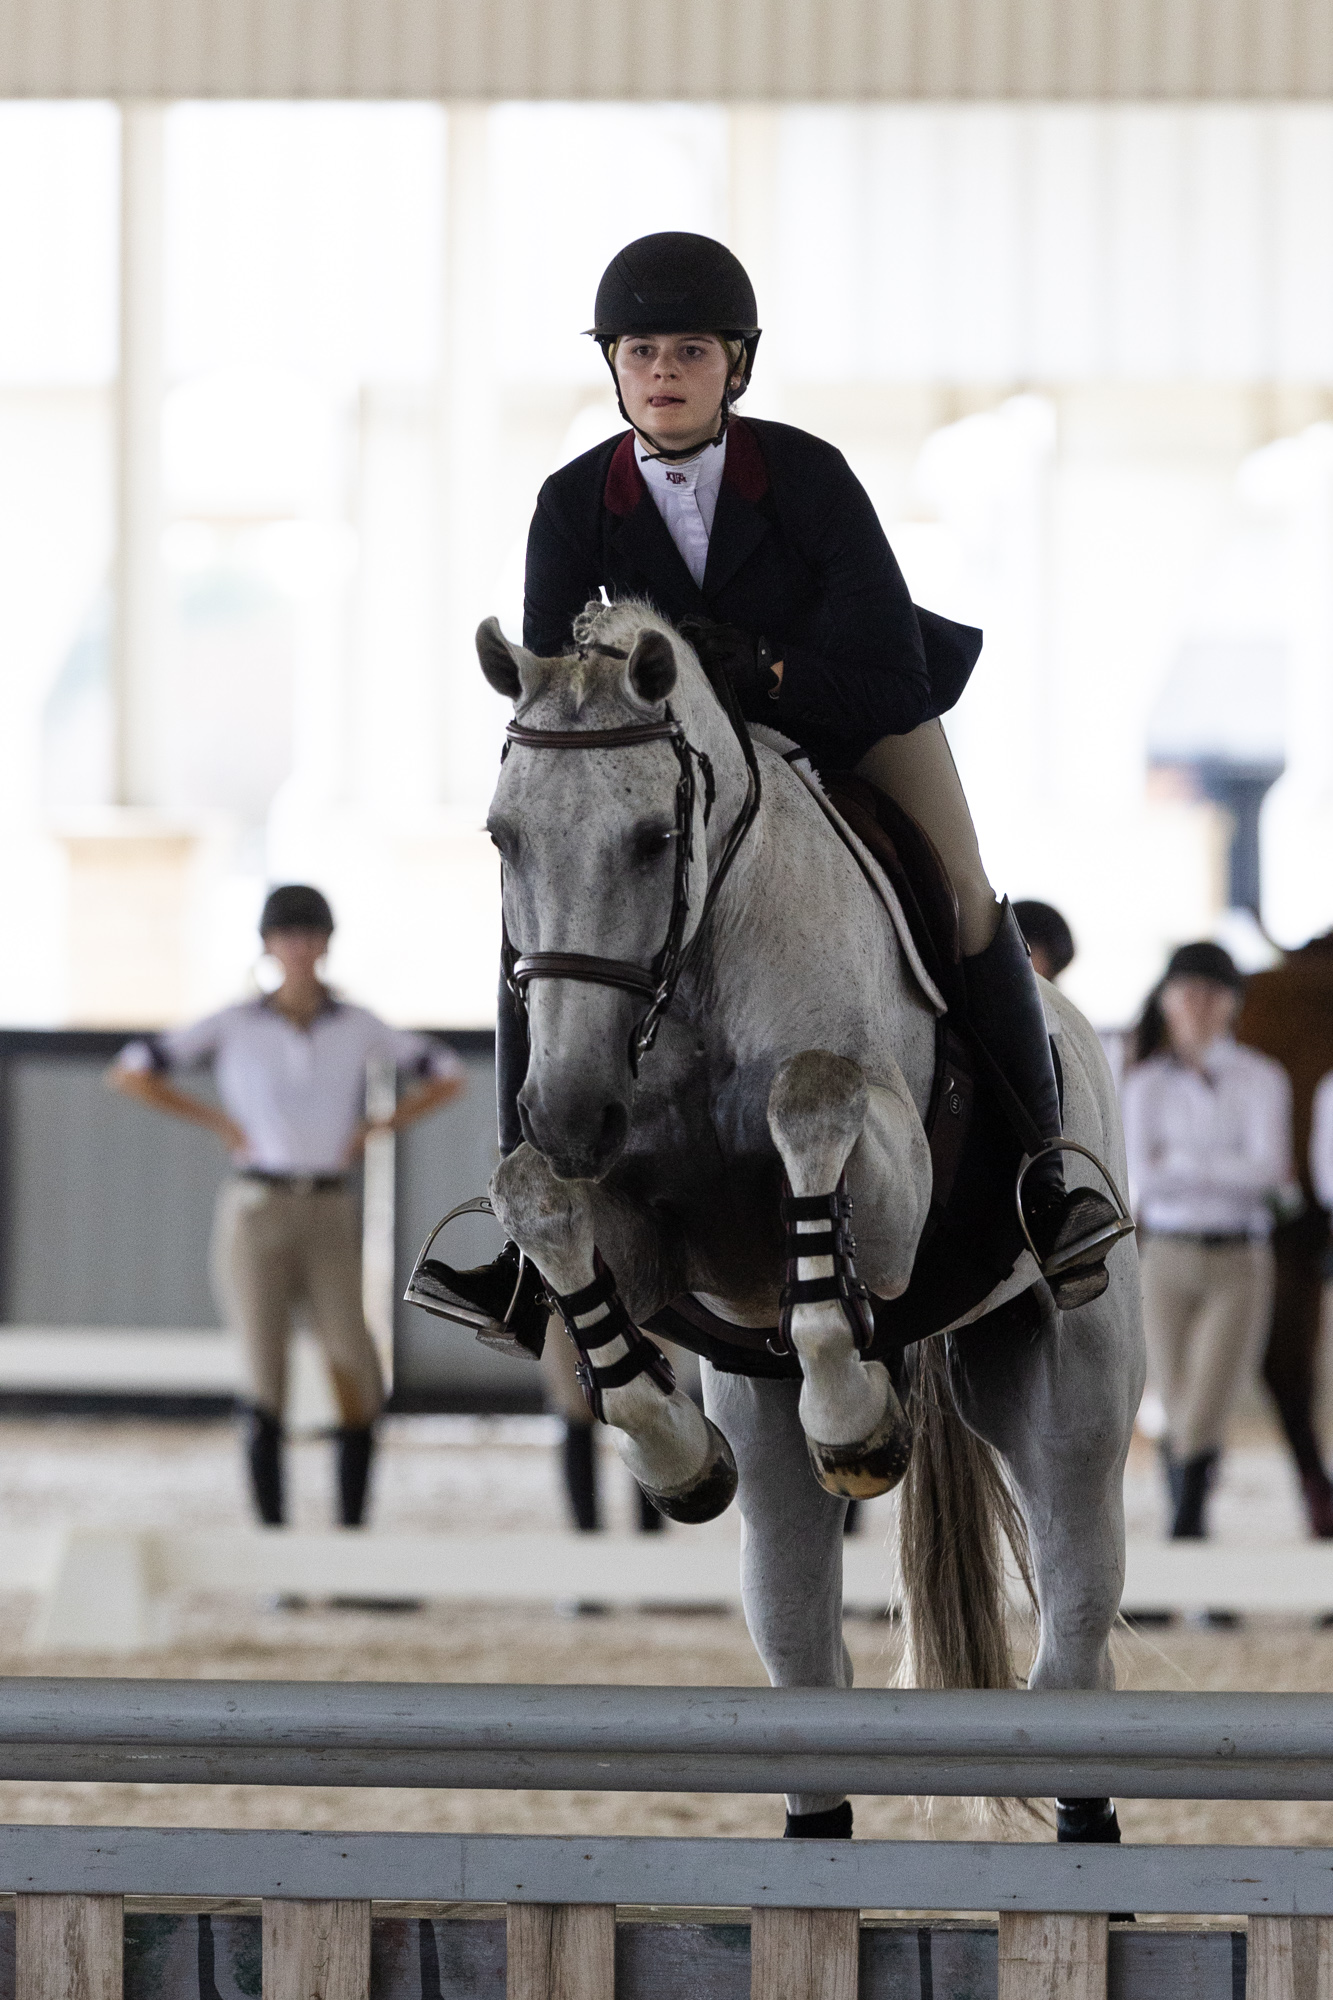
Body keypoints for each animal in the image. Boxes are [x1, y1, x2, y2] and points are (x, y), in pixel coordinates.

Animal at [472, 592, 1136, 1832]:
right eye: (503, 835)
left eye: (653, 838)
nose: (570, 1108)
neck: (692, 970)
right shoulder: (650, 1242)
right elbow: (542, 1205)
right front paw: (672, 1448)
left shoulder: (890, 1190)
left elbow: (810, 1101)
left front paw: (855, 1416)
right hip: (759, 1411)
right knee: (800, 1650)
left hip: (1065, 1391)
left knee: (1073, 1641)